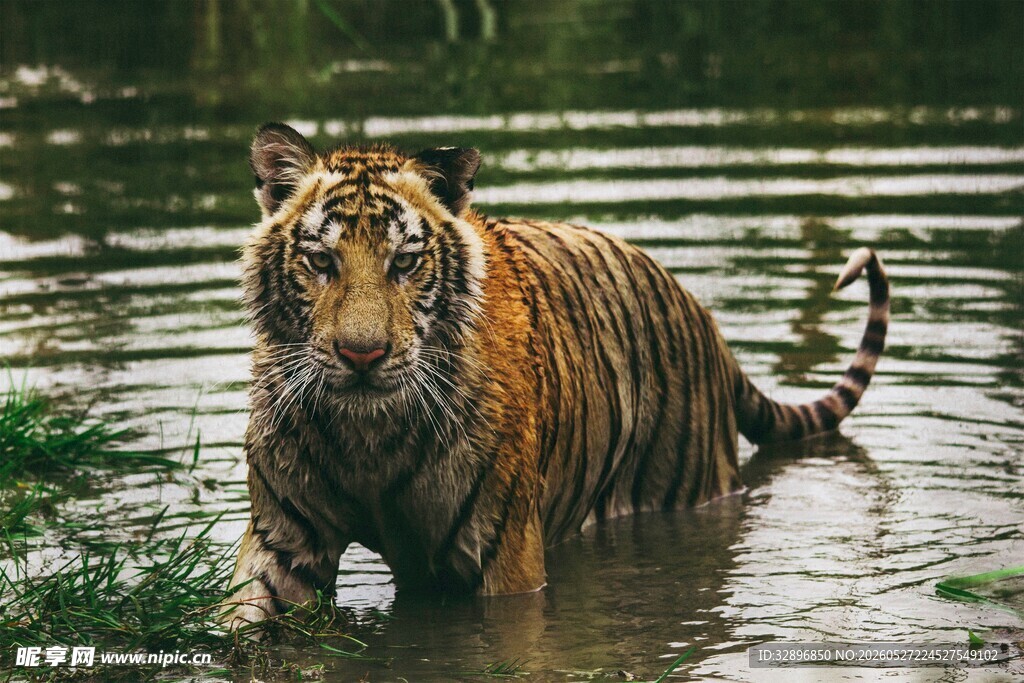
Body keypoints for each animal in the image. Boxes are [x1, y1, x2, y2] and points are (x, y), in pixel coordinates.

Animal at [220, 123, 889, 630]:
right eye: (320, 261)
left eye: (405, 263)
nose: (362, 355)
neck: (368, 437)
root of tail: (706, 321)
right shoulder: (284, 540)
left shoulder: (503, 555)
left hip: (686, 489)